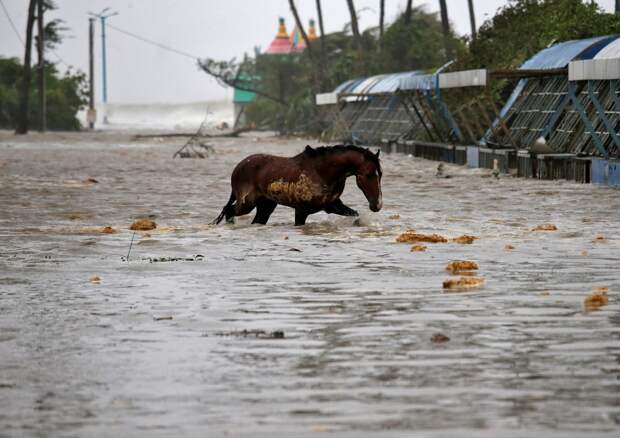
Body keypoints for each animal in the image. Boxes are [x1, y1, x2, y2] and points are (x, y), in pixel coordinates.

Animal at [214, 145, 382, 226]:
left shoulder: (332, 206)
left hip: (266, 205)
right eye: (369, 174)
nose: (377, 205)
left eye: (380, 174)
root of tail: (237, 168)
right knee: (228, 211)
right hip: (246, 203)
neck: (321, 172)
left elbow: (355, 214)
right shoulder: (301, 211)